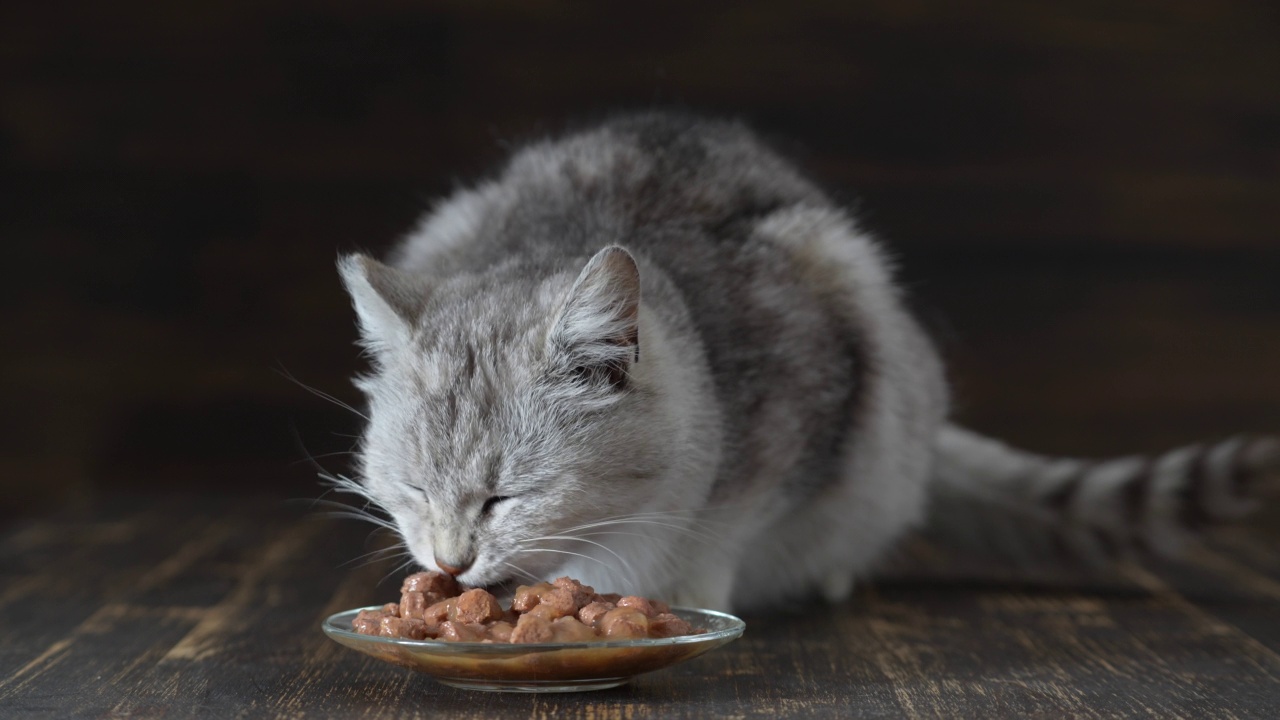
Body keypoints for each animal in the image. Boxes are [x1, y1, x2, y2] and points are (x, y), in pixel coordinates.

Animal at [332, 114, 1280, 607]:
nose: (449, 564)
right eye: (411, 489)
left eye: (509, 496)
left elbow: (715, 541)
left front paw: (676, 602)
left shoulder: (806, 417)